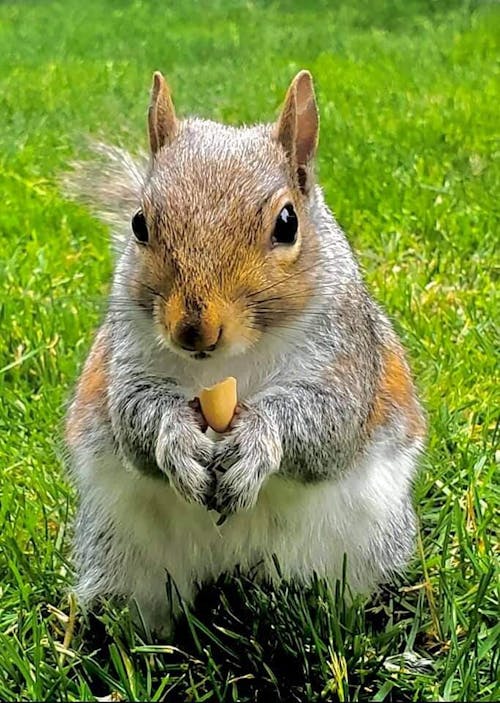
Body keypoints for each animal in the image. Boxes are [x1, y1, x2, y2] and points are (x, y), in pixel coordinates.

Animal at [65, 70, 426, 637]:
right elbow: (134, 414)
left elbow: (329, 423)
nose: (195, 331)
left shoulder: (347, 356)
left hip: (364, 549)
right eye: (140, 224)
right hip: (121, 556)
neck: (225, 368)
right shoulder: (127, 357)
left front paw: (258, 439)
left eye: (287, 223)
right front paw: (176, 439)